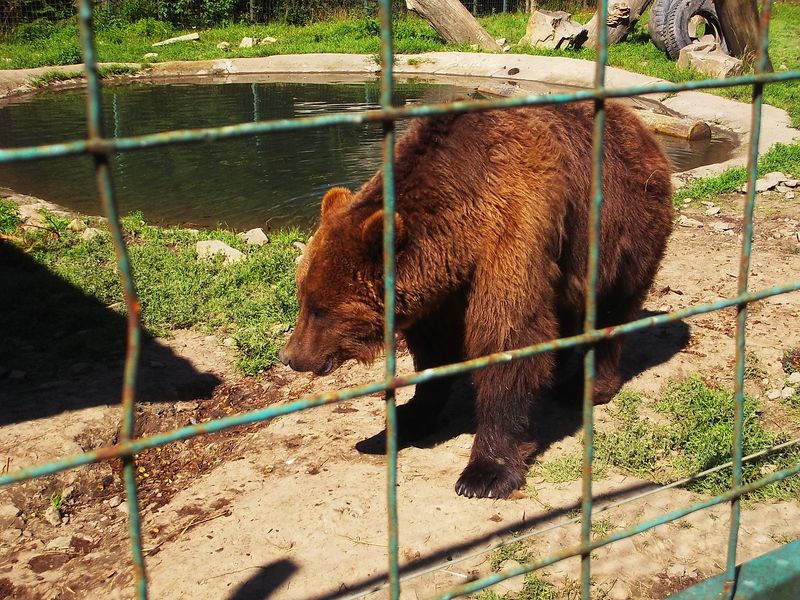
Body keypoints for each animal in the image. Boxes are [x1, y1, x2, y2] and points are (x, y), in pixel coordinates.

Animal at [279, 101, 673, 499]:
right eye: (303, 297)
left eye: (320, 309)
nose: (291, 356)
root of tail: (642, 129)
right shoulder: (442, 286)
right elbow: (435, 350)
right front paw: (409, 416)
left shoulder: (513, 227)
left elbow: (507, 338)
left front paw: (485, 472)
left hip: (623, 232)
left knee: (613, 311)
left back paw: (584, 386)